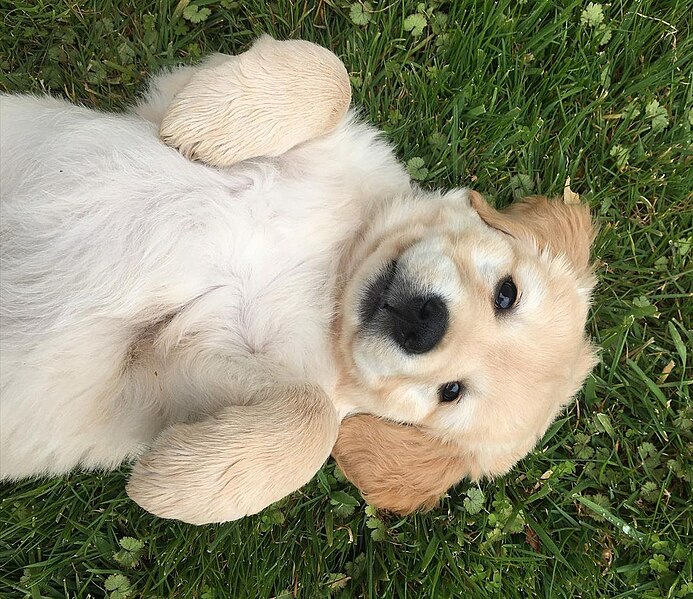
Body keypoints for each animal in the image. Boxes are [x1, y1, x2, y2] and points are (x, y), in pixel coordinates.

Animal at [0, 38, 596, 524]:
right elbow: (330, 72)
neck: (334, 273)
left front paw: (176, 482)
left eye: (450, 393)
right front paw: (207, 123)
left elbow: (313, 420)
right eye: (507, 293)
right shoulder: (171, 91)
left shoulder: (162, 374)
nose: (423, 323)